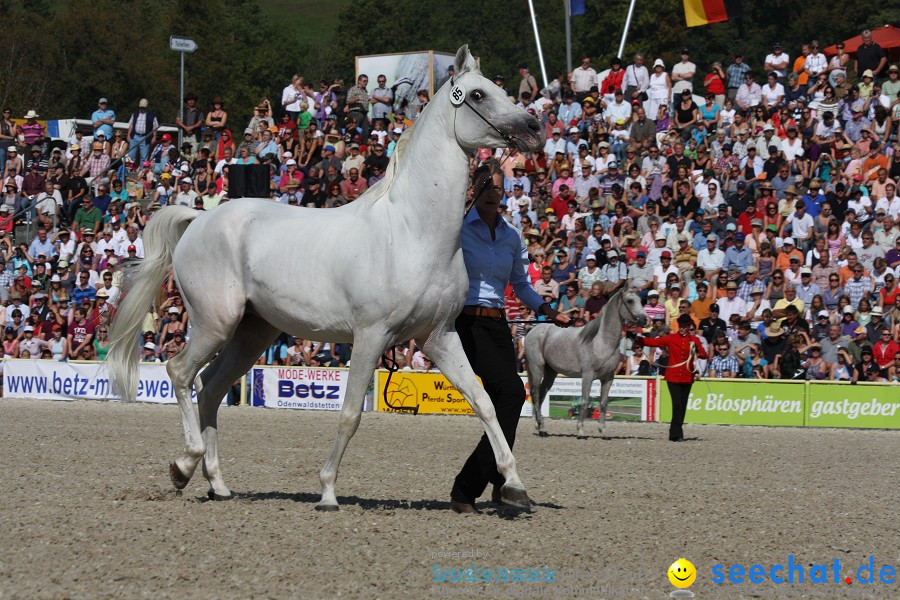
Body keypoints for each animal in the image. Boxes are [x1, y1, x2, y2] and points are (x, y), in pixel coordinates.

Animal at [105, 44, 540, 508]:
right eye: (477, 95)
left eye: (500, 89)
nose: (534, 128)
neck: (412, 233)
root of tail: (199, 220)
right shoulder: (371, 336)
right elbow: (349, 414)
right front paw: (328, 489)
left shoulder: (437, 337)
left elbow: (484, 402)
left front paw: (515, 485)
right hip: (215, 323)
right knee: (180, 373)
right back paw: (183, 466)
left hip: (251, 333)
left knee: (210, 388)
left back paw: (218, 484)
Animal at [528, 292, 648, 438]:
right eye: (630, 301)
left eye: (640, 300)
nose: (645, 319)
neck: (601, 342)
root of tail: (532, 331)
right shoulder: (587, 376)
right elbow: (584, 401)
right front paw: (580, 430)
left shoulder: (608, 378)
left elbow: (603, 403)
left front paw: (603, 430)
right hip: (537, 368)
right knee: (535, 394)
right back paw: (541, 427)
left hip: (550, 372)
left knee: (542, 394)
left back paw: (539, 425)